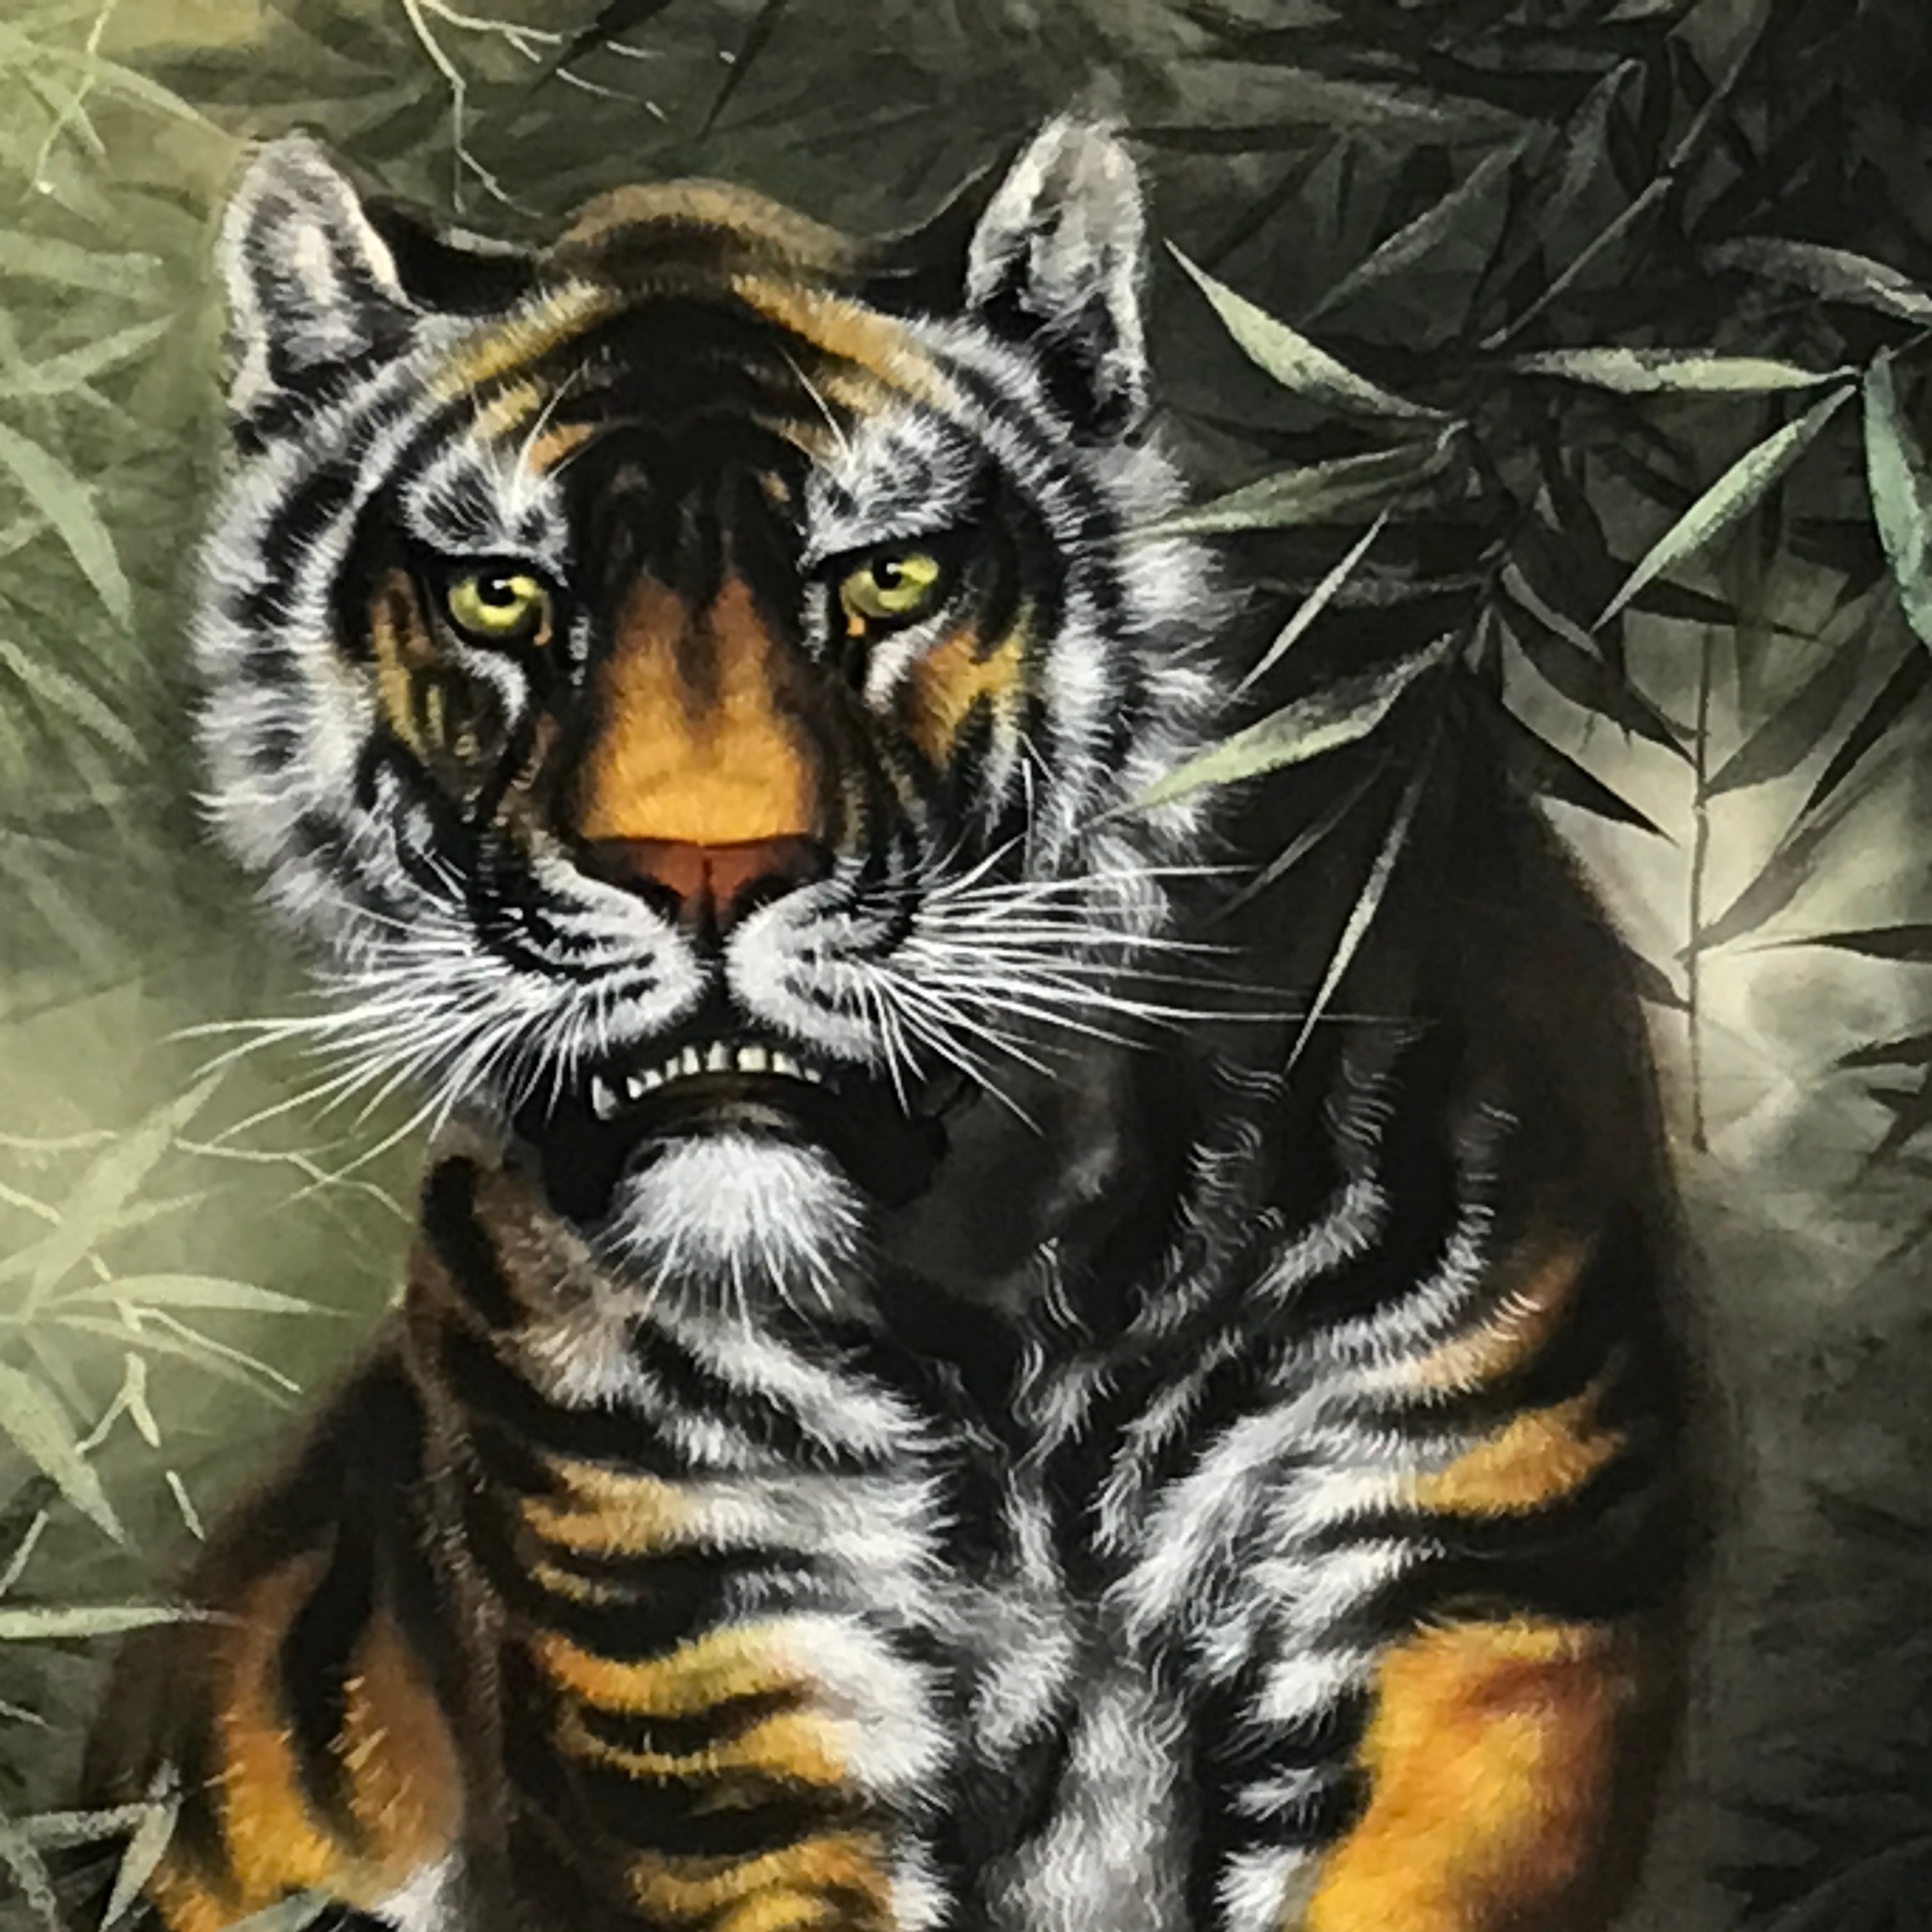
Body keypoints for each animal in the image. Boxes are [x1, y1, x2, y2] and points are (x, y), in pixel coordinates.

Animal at [81, 116, 1696, 1932]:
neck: (994, 1289)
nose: (704, 868)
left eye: (890, 578)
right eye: (501, 596)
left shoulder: (1470, 1606)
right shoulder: (707, 1685)